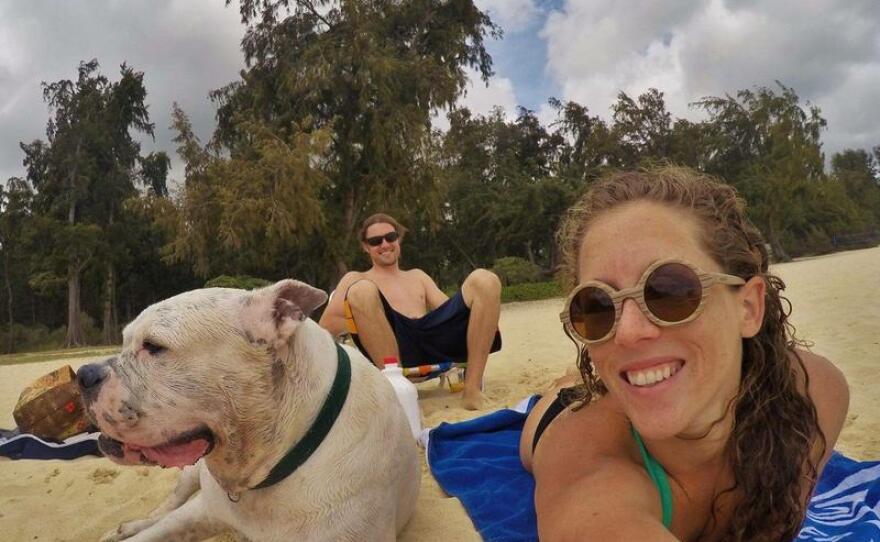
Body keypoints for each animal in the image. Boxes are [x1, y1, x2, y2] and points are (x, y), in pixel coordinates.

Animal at [76, 280, 420, 542]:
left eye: (154, 346)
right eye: (125, 341)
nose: (83, 374)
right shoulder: (202, 510)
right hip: (190, 477)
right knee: (168, 505)